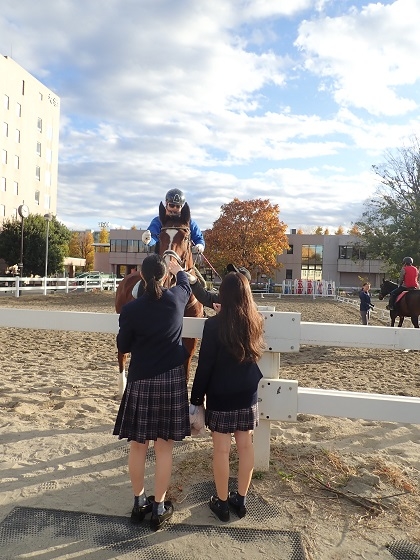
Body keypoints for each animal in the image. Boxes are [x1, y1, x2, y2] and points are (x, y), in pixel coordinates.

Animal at [114, 201, 203, 398]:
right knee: (122, 354)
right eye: (160, 237)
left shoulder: (190, 339)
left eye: (185, 237)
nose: (169, 273)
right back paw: (122, 387)